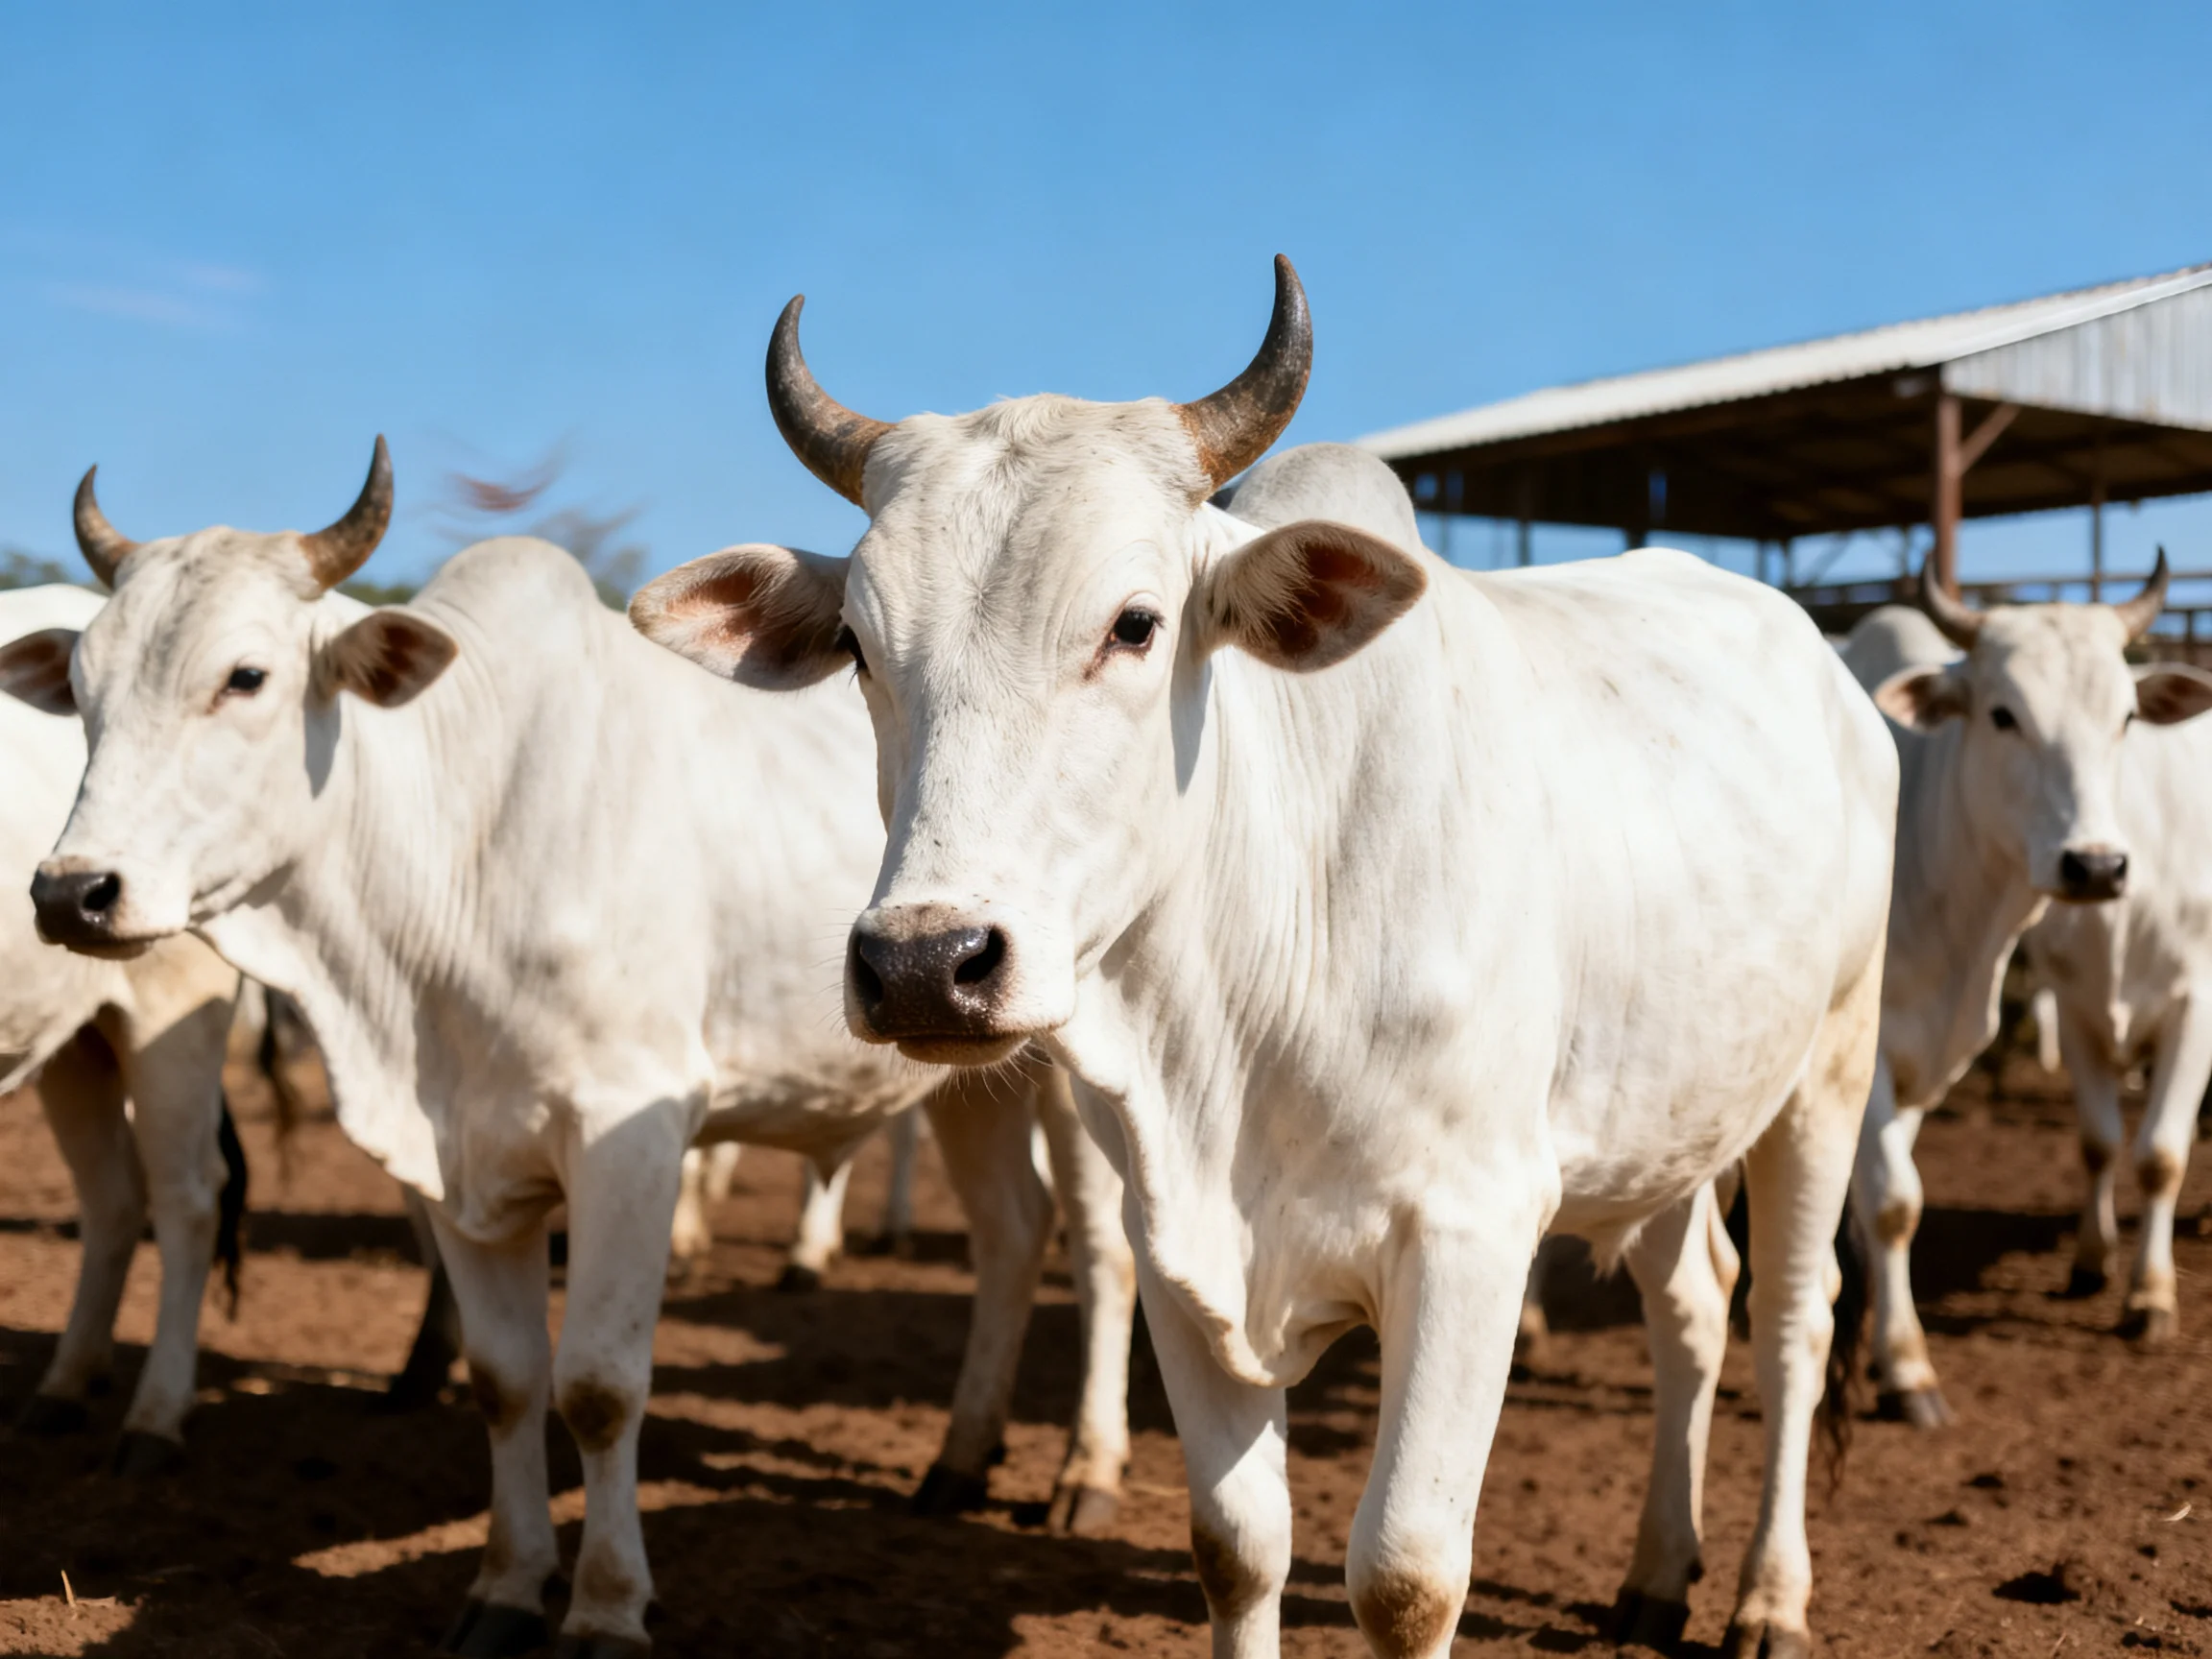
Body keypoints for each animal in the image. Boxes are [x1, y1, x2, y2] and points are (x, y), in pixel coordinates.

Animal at [1, 584, 244, 1472]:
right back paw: (66, 1385)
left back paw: (156, 1416)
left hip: (173, 1018)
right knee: (111, 1200)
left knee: (189, 1198)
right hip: (71, 1041)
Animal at [631, 257, 1898, 1659]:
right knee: (1695, 1311)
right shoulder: (1182, 1249)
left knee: (1791, 1325)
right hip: (1666, 1121)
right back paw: (1658, 1573)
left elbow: (1406, 1574)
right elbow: (1237, 1548)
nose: (925, 962)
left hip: (1827, 1077)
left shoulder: (1472, 1233)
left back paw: (1768, 1597)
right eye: (858, 645)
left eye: (1136, 624)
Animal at [1837, 585, 2212, 1421]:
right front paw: (1906, 1368)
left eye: (2126, 716)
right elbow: (1893, 1200)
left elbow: (2157, 1153)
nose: (2096, 866)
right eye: (2003, 714)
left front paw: (2148, 1297)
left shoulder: (2193, 1007)